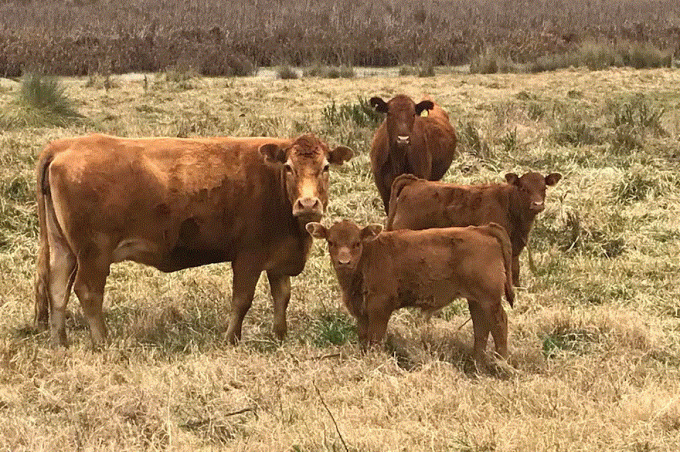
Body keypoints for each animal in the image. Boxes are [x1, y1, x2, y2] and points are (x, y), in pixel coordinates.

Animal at [35, 132, 356, 348]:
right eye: (288, 167)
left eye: (326, 167)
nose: (308, 204)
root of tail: (64, 146)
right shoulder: (248, 256)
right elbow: (242, 299)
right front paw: (230, 338)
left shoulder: (278, 256)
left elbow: (282, 296)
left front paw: (280, 335)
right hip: (94, 252)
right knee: (88, 291)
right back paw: (102, 341)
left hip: (64, 248)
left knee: (57, 288)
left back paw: (60, 341)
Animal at [306, 220, 512, 368]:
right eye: (331, 242)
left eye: (356, 243)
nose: (344, 262)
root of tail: (481, 229)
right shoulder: (361, 311)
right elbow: (364, 338)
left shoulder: (380, 306)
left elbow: (376, 338)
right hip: (476, 299)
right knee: (481, 327)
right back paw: (478, 364)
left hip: (489, 298)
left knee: (499, 323)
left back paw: (502, 362)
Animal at [386, 171, 560, 284]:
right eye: (523, 188)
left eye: (544, 188)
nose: (538, 204)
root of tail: (415, 182)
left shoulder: (515, 249)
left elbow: (515, 272)